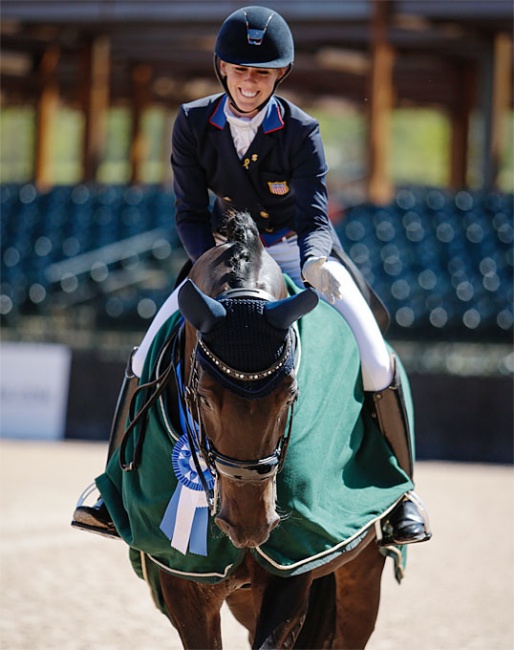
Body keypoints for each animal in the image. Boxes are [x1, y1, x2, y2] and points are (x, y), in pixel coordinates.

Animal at [151, 211, 384, 644]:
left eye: (291, 394)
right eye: (203, 396)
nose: (250, 524)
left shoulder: (295, 565)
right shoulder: (181, 578)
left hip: (362, 580)